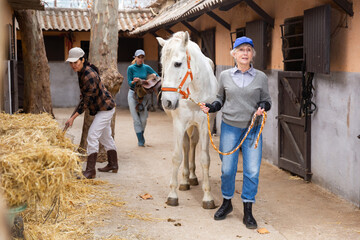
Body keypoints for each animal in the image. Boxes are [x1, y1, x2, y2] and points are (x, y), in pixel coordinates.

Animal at [157, 31, 218, 208]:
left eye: (178, 64)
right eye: (162, 65)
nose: (167, 102)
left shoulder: (204, 125)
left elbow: (205, 159)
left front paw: (208, 197)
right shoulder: (179, 123)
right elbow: (177, 156)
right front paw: (172, 194)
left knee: (192, 143)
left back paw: (192, 176)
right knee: (185, 145)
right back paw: (185, 180)